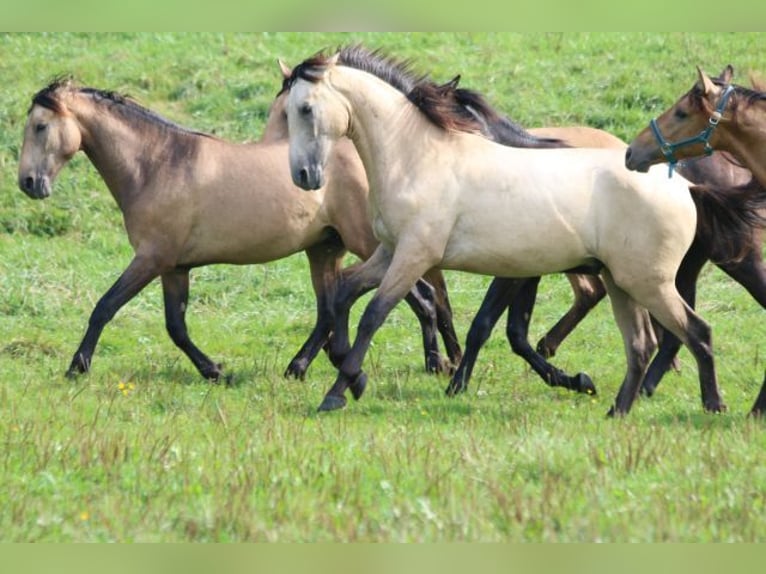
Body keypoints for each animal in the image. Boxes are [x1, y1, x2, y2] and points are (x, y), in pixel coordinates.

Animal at [16, 76, 468, 382]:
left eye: (39, 126)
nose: (28, 183)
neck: (157, 165)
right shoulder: (174, 268)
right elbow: (176, 327)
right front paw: (215, 370)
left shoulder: (150, 259)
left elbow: (105, 307)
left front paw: (77, 366)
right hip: (324, 250)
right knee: (331, 309)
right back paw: (299, 367)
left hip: (368, 243)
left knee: (420, 297)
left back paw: (436, 363)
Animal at [284, 44, 732, 414]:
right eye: (285, 112)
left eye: (305, 109)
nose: (303, 176)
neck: (416, 157)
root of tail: (685, 186)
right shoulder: (390, 251)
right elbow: (344, 292)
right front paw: (352, 376)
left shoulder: (416, 255)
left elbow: (375, 314)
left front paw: (338, 392)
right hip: (621, 280)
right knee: (643, 343)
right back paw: (618, 410)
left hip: (648, 282)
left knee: (696, 331)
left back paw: (712, 404)